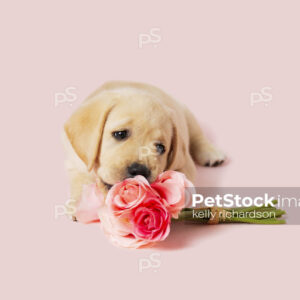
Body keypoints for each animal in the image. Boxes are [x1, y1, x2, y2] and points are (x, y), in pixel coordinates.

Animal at [62, 81, 224, 214]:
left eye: (160, 148)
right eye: (120, 134)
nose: (139, 170)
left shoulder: (185, 163)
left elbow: (182, 181)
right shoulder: (75, 162)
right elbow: (80, 181)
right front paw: (79, 204)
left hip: (187, 115)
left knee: (198, 136)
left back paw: (212, 153)